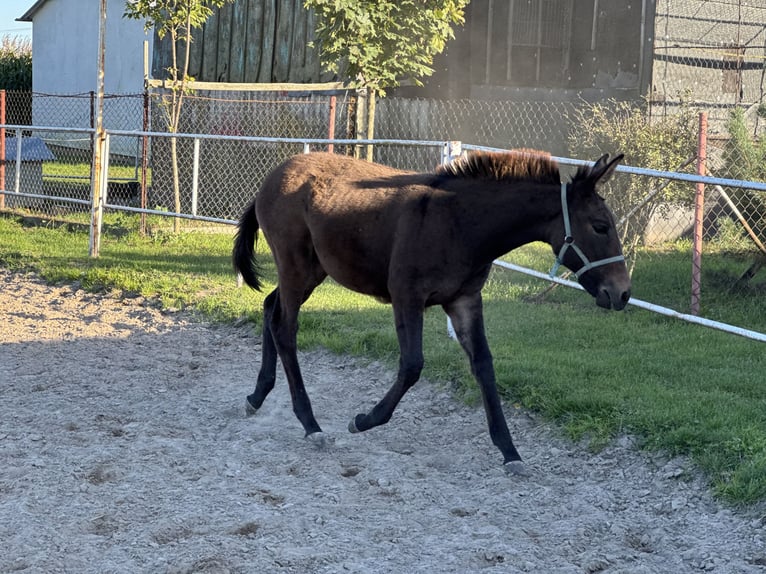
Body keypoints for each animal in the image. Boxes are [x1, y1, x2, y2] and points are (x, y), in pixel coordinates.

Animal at [233, 149, 631, 474]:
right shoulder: (407, 297)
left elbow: (484, 366)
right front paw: (363, 420)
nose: (622, 293)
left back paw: (256, 397)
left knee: (270, 309)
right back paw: (310, 425)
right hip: (296, 267)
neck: (459, 222)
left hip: (312, 272)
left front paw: (510, 452)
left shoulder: (464, 300)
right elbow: (412, 365)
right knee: (285, 329)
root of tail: (273, 177)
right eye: (600, 226)